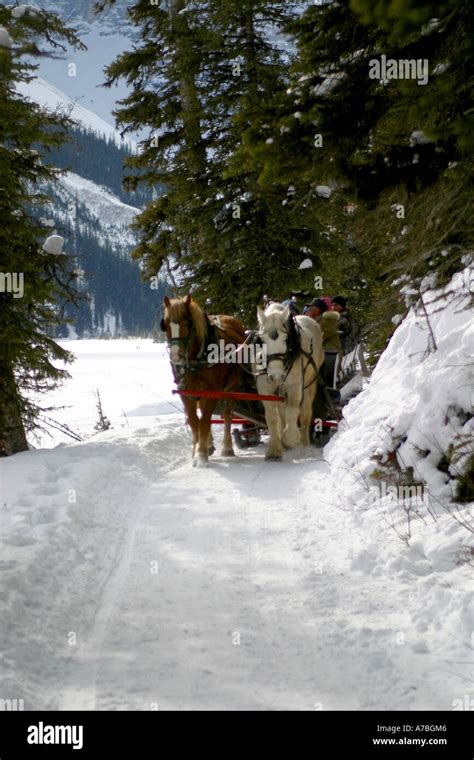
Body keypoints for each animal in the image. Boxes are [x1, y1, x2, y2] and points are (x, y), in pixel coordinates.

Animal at [162, 294, 246, 466]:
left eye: (187, 322)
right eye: (165, 324)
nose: (176, 356)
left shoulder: (212, 391)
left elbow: (205, 421)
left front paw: (201, 456)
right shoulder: (185, 391)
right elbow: (195, 422)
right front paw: (197, 451)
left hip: (232, 386)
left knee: (227, 413)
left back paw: (227, 447)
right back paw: (209, 444)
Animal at [252, 302, 326, 458]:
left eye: (286, 339)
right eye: (261, 340)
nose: (276, 376)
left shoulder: (295, 386)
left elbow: (292, 411)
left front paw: (290, 439)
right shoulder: (265, 386)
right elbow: (272, 417)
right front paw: (275, 449)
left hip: (309, 383)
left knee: (305, 414)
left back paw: (304, 443)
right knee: (282, 414)